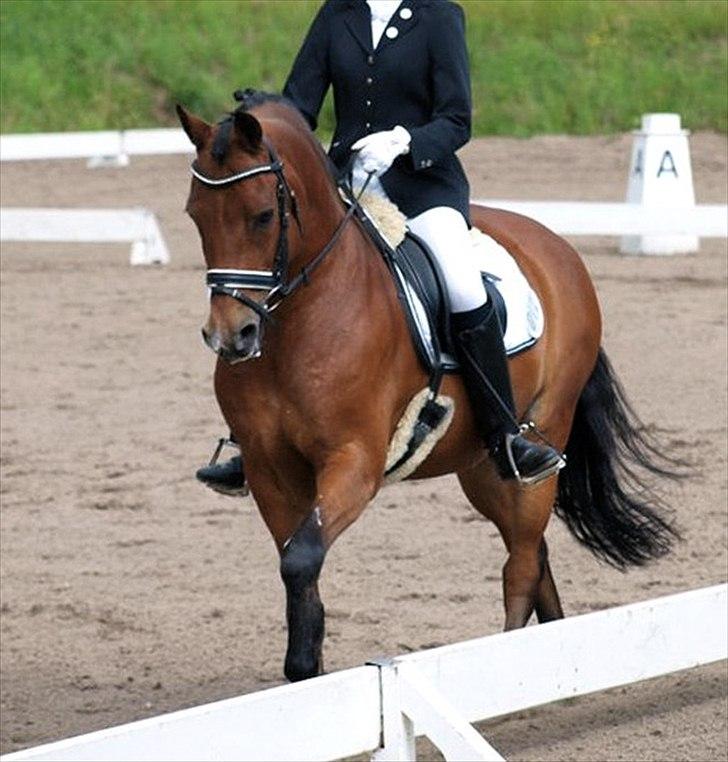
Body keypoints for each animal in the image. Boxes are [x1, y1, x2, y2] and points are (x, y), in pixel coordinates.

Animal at [177, 92, 679, 683]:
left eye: (261, 216)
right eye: (195, 215)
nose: (231, 337)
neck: (301, 320)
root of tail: (557, 247)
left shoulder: (356, 462)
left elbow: (301, 559)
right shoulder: (269, 467)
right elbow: (299, 569)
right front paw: (306, 671)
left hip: (543, 440)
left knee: (521, 566)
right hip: (481, 466)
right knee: (536, 557)